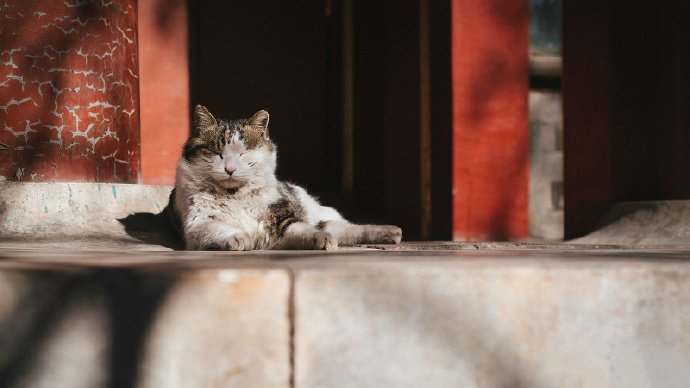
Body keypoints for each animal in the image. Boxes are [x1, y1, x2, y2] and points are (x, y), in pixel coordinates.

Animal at [169, 105, 400, 252]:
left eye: (244, 153)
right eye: (217, 153)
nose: (230, 169)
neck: (236, 195)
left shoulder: (282, 220)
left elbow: (305, 231)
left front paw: (323, 241)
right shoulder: (198, 224)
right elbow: (220, 229)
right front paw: (238, 238)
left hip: (315, 212)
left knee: (345, 226)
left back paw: (390, 232)